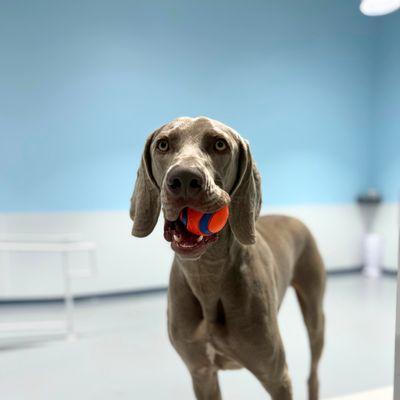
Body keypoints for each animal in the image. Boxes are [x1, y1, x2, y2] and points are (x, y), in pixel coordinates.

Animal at [130, 116, 324, 400]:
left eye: (220, 144)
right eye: (163, 144)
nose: (184, 178)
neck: (207, 275)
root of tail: (294, 218)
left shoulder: (277, 376)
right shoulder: (202, 373)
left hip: (315, 313)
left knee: (313, 371)